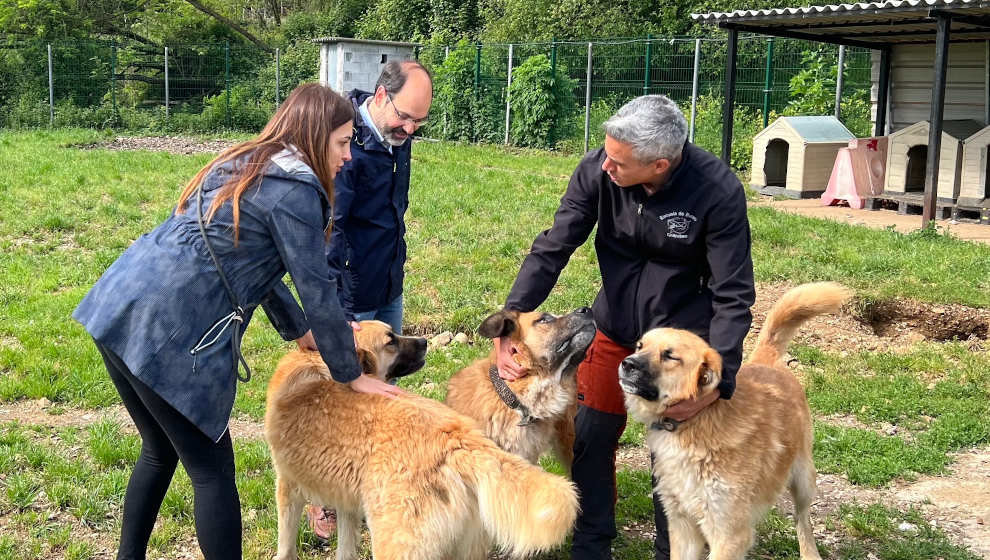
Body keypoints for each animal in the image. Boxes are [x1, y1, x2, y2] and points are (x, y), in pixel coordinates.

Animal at [264, 320, 580, 560]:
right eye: (390, 340)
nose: (424, 341)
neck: (318, 366)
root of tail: (457, 439)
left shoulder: (287, 485)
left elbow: (286, 544)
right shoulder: (345, 503)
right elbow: (345, 549)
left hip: (396, 544)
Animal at [620, 284, 852, 560]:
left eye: (670, 356)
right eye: (639, 346)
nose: (626, 363)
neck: (697, 420)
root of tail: (765, 360)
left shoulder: (728, 533)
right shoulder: (683, 525)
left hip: (804, 479)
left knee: (802, 519)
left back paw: (809, 553)